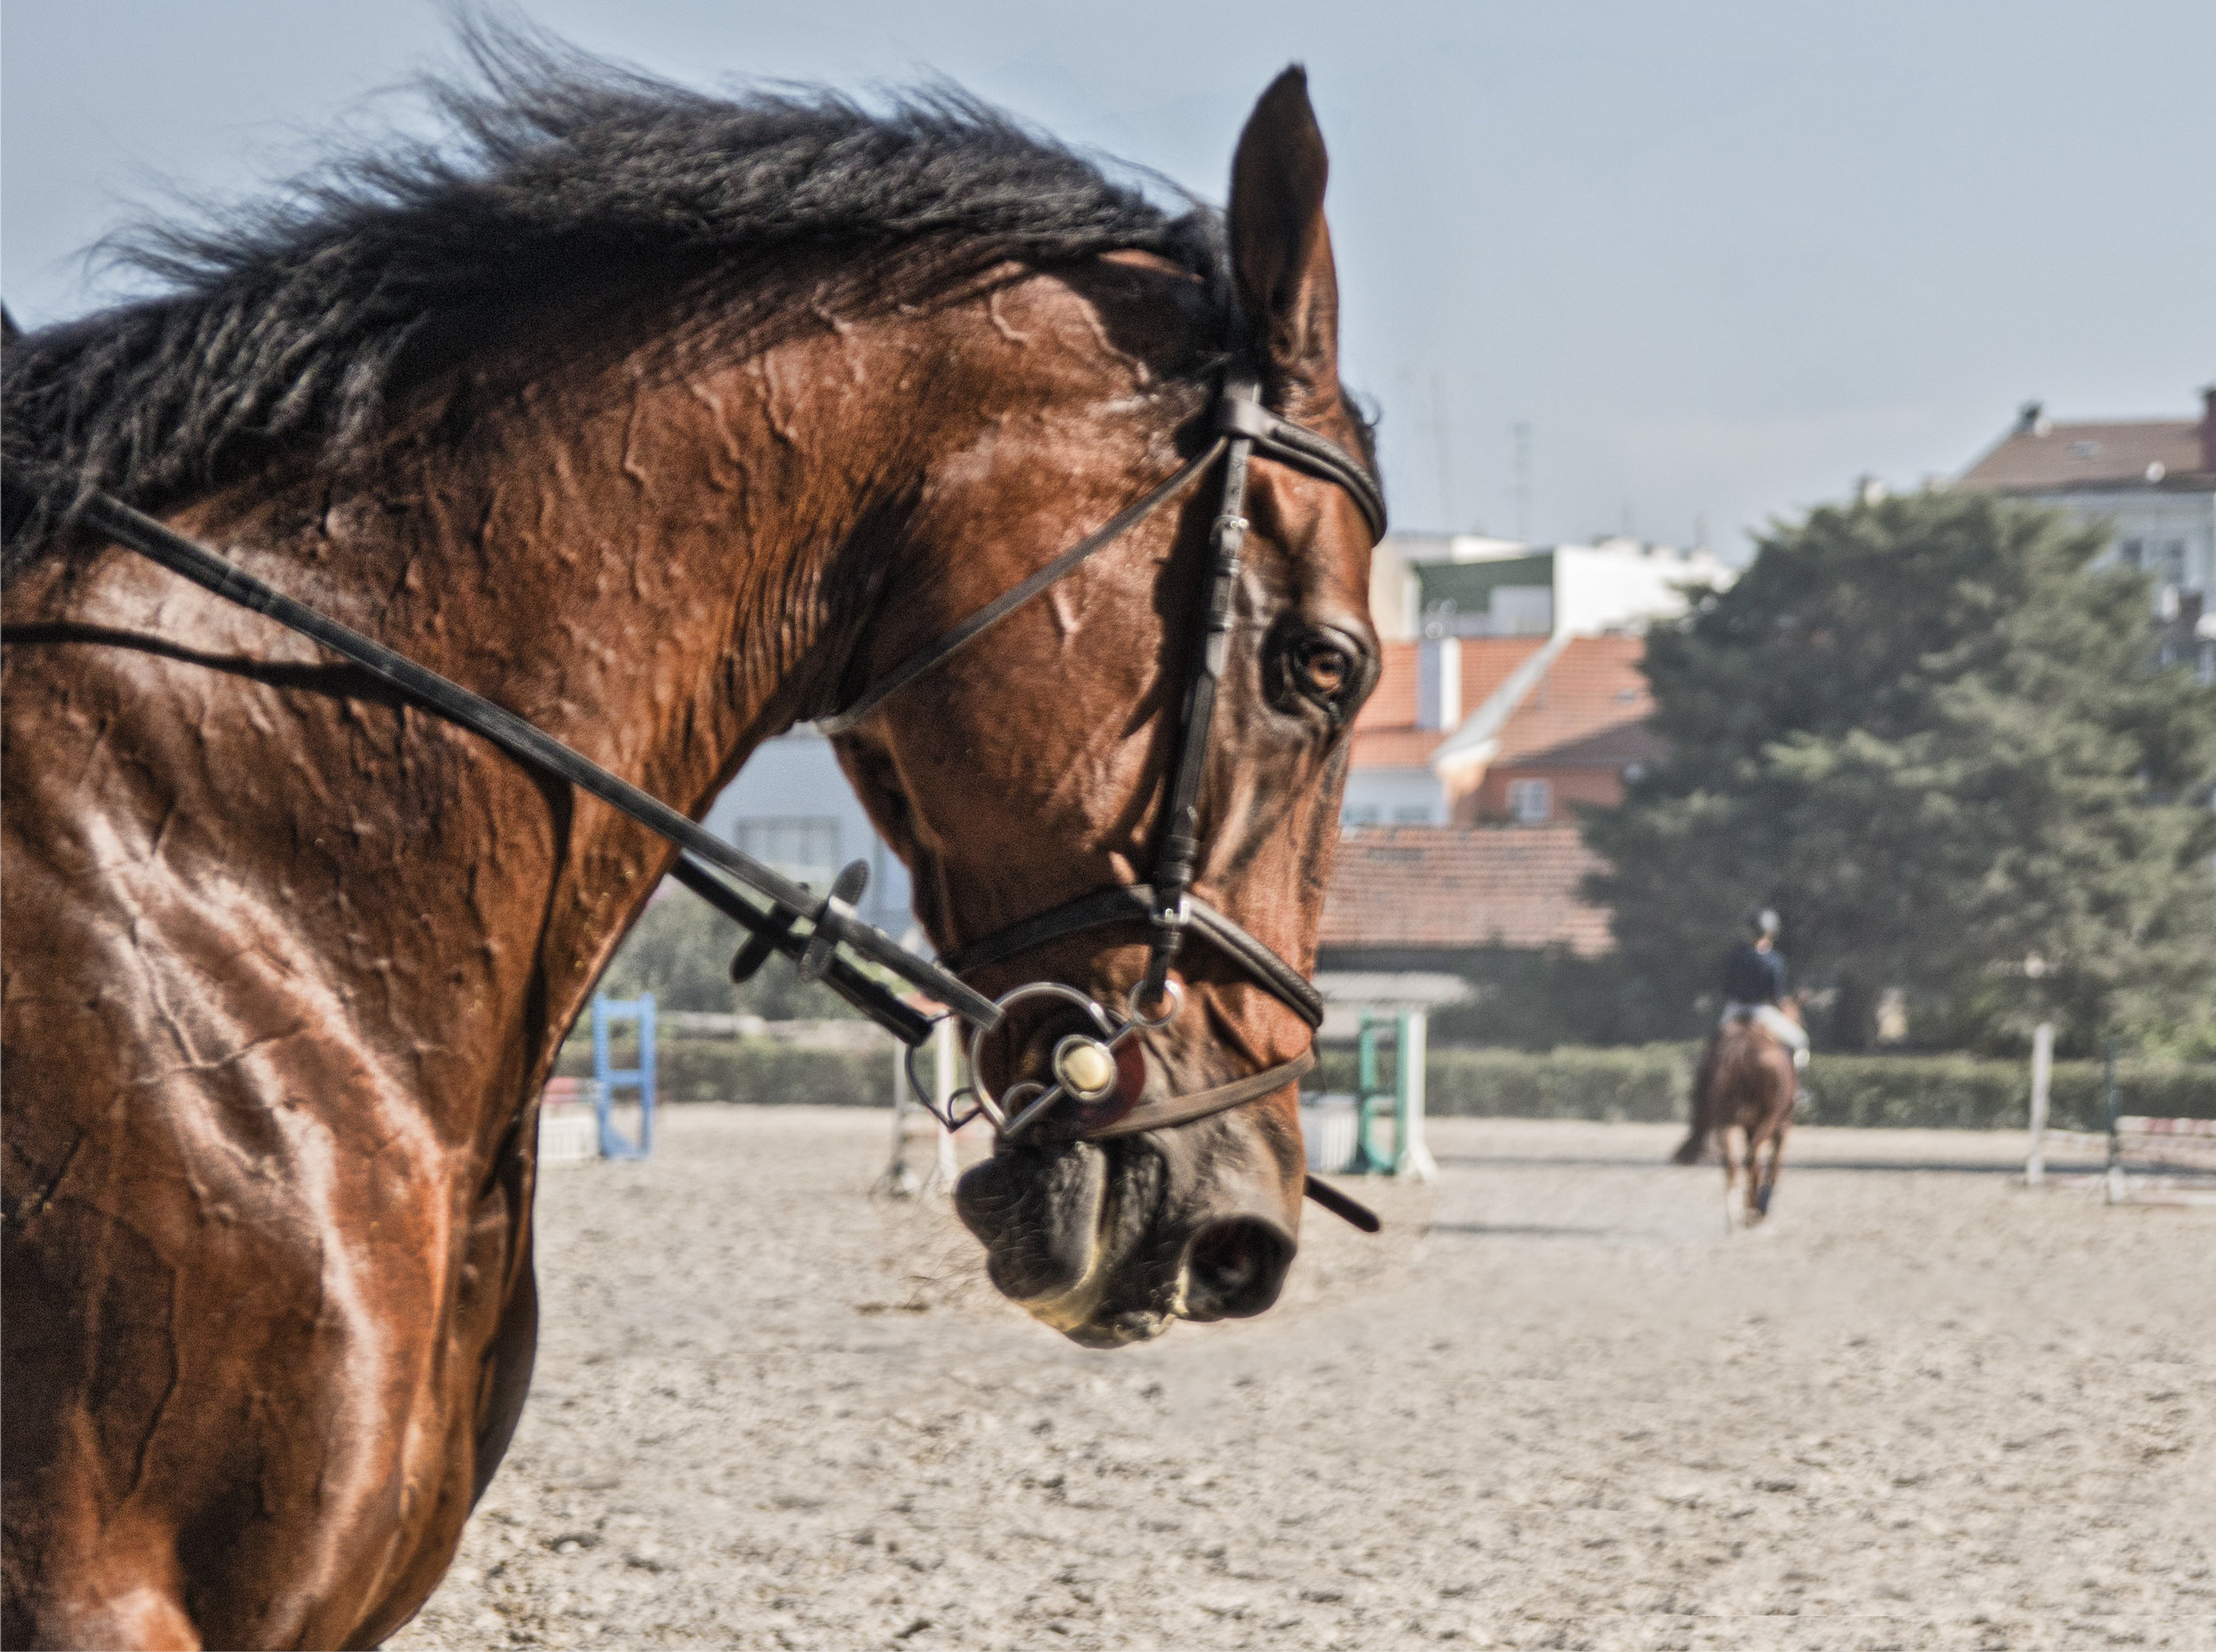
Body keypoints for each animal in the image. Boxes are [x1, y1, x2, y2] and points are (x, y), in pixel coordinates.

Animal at [1675, 992, 1799, 1222]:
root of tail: (1740, 1050)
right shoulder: (1782, 1125)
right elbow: (1774, 1163)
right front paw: (1764, 1201)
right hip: (1768, 1120)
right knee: (1752, 1157)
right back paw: (1755, 1206)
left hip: (1725, 1122)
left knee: (1732, 1165)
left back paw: (1736, 1213)